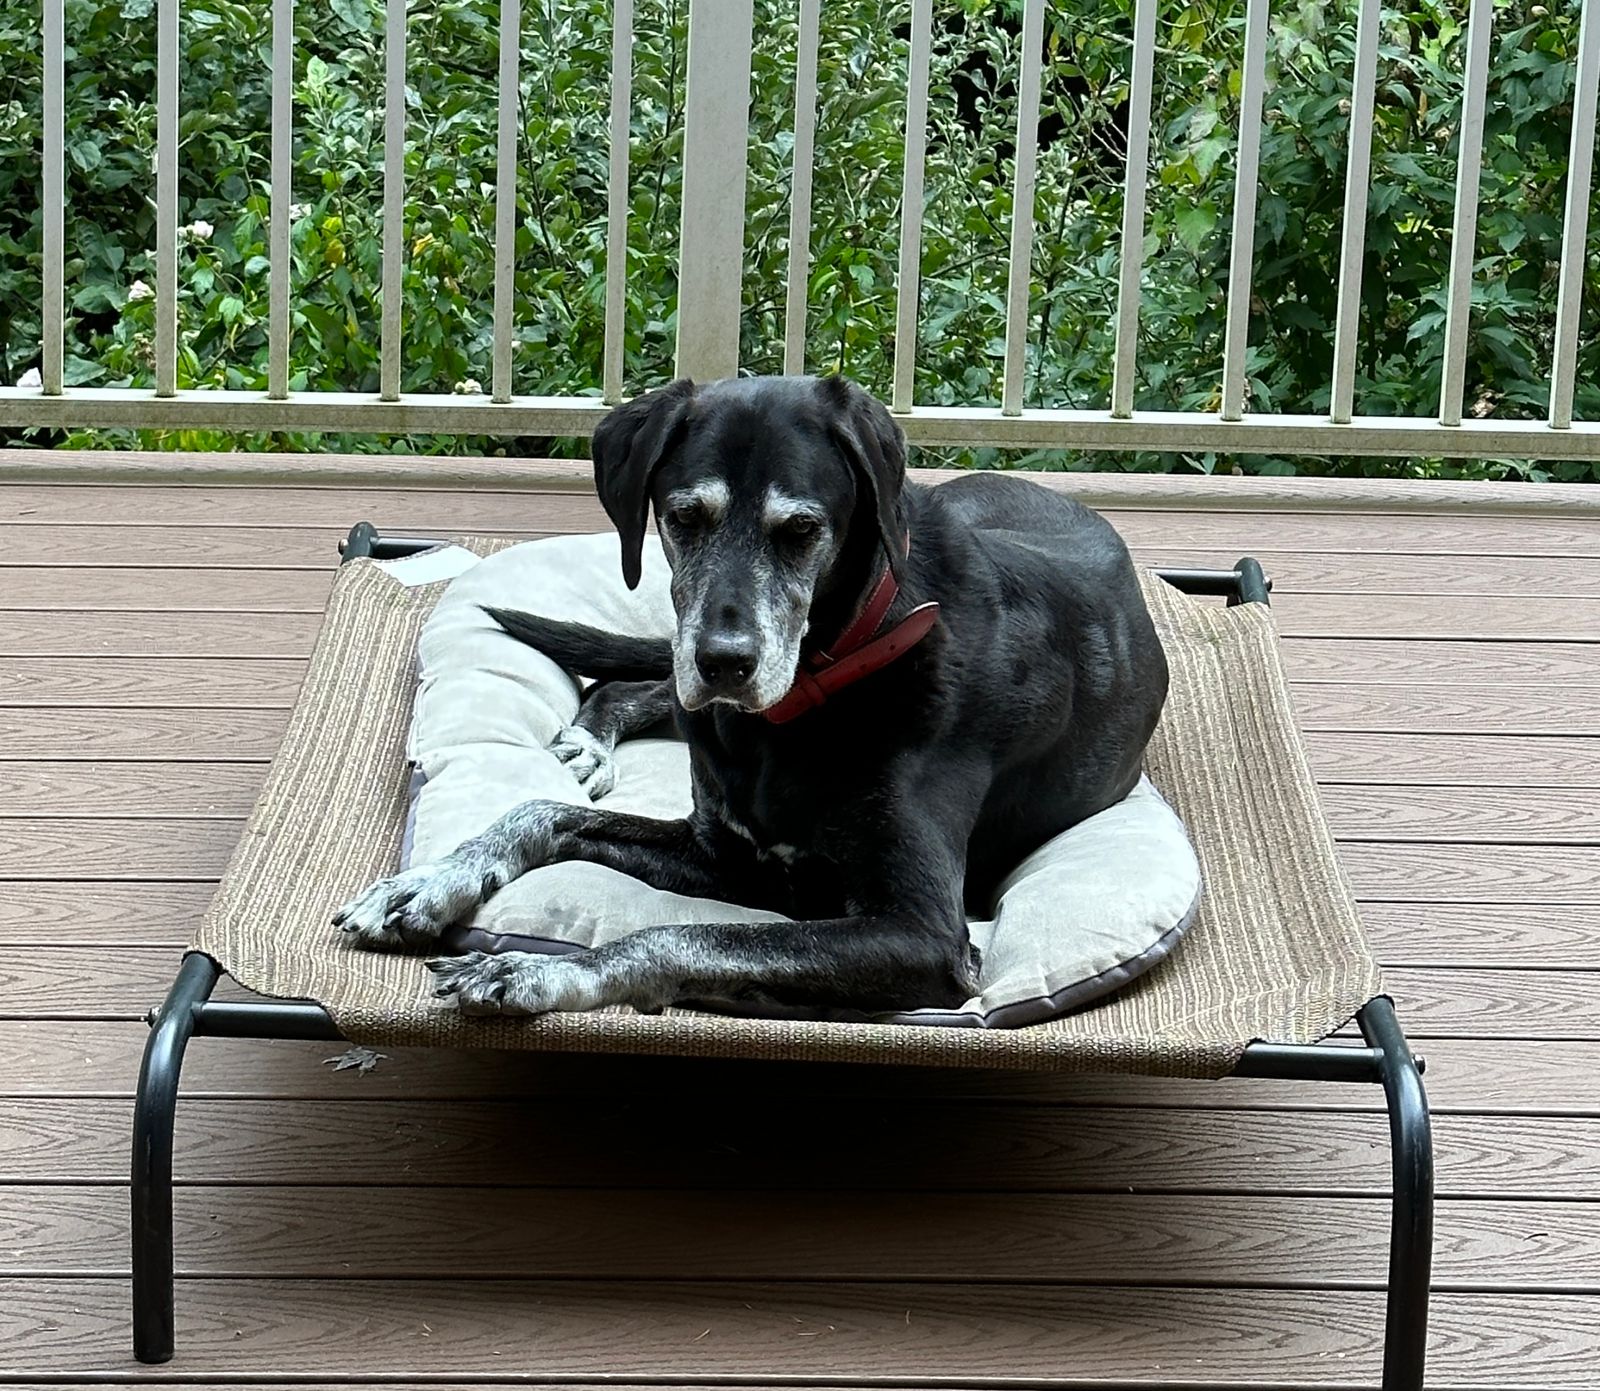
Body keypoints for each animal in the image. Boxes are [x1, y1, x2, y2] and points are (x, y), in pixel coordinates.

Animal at [334, 374, 1169, 1018]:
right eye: (682, 517)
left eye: (801, 529)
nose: (725, 662)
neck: (800, 708)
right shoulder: (725, 850)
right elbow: (543, 811)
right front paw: (429, 880)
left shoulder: (925, 935)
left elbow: (687, 936)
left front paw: (539, 967)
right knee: (645, 686)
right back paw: (591, 733)